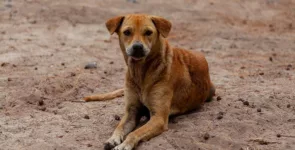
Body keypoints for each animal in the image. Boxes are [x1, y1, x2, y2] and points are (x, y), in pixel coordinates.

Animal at [84, 14, 216, 150]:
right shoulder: (131, 111)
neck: (140, 72)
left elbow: (134, 133)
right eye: (127, 32)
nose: (137, 47)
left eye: (148, 32)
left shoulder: (159, 117)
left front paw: (124, 145)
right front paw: (113, 139)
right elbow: (119, 127)